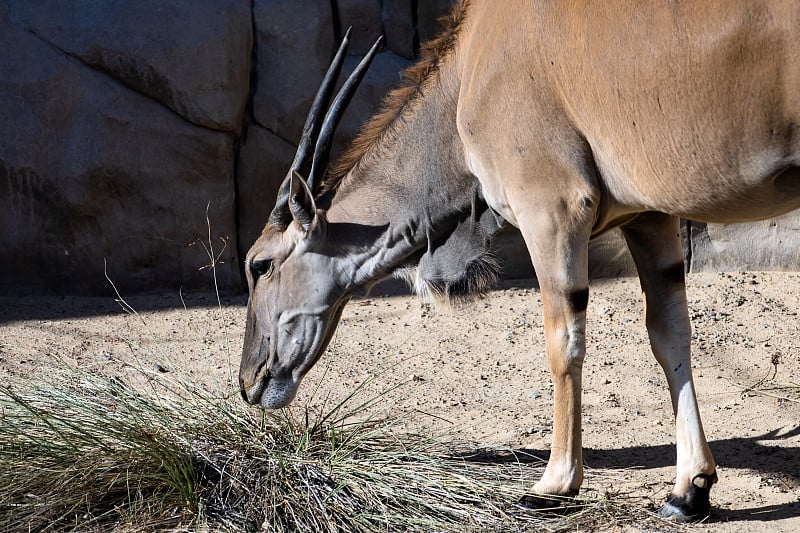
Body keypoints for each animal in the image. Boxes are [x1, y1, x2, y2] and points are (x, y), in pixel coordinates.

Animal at [241, 1, 800, 520]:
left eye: (259, 264)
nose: (249, 382)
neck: (470, 69)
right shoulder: (649, 217)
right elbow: (669, 334)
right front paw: (690, 489)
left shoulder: (552, 210)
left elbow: (563, 342)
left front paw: (555, 484)